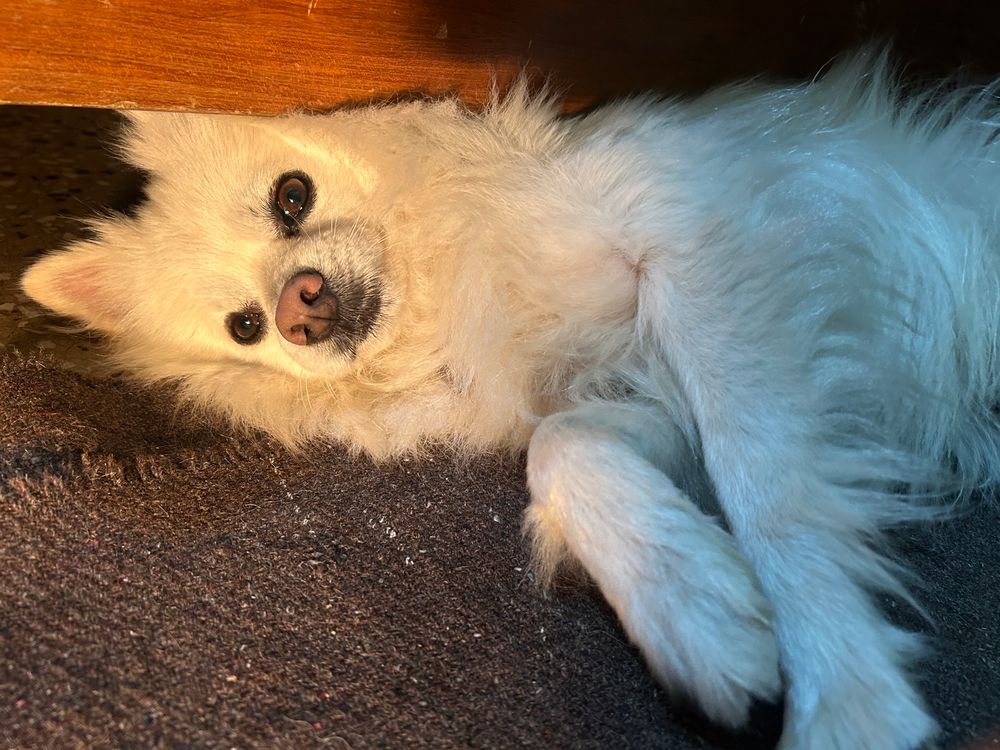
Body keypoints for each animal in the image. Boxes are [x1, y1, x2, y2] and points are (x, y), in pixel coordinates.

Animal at [21, 49, 1000, 749]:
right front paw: (693, 607)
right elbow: (561, 447)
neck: (451, 280)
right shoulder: (634, 394)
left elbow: (771, 492)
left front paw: (845, 689)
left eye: (291, 196)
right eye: (243, 327)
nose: (300, 309)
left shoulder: (714, 263)